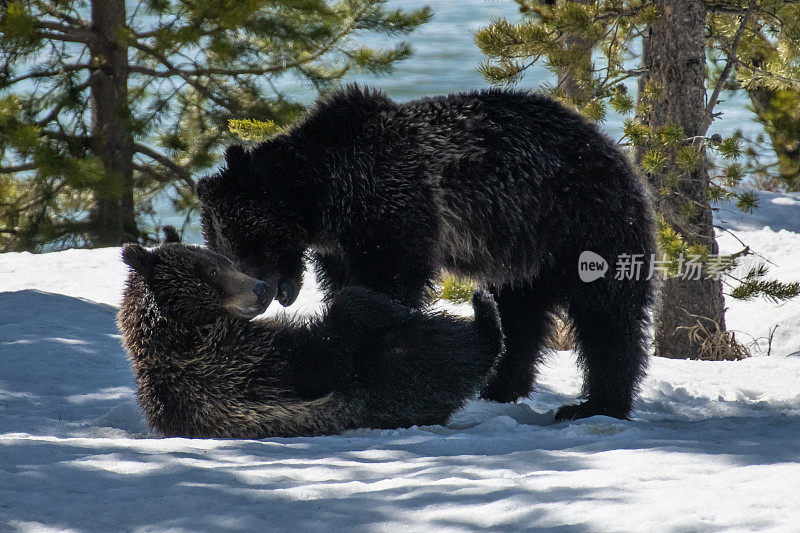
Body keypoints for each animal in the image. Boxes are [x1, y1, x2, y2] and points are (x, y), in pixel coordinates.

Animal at [115, 240, 504, 436]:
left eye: (224, 261)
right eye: (211, 271)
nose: (262, 287)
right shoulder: (228, 369)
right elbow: (320, 359)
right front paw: (375, 302)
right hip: (395, 380)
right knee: (439, 355)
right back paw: (484, 312)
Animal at [197, 85, 652, 422]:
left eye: (251, 241)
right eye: (222, 247)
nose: (257, 294)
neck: (328, 196)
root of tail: (613, 148)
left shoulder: (394, 211)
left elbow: (390, 284)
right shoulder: (339, 247)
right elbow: (347, 289)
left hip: (582, 223)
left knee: (606, 314)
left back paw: (596, 403)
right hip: (525, 251)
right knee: (522, 312)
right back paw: (502, 384)